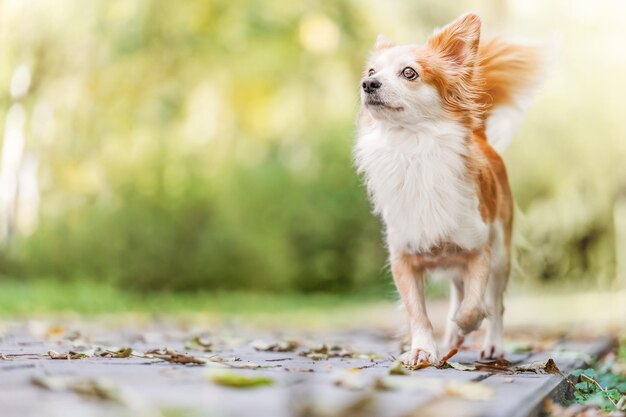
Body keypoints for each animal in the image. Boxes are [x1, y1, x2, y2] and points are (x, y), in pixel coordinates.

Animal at [354, 13, 540, 364]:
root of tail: (481, 135)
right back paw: (452, 337)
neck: (413, 149)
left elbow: (474, 305)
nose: (368, 84)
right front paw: (423, 349)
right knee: (458, 291)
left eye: (409, 72)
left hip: (501, 257)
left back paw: (491, 344)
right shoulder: (404, 259)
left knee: (494, 303)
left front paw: (467, 324)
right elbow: (418, 312)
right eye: (371, 72)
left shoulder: (480, 251)